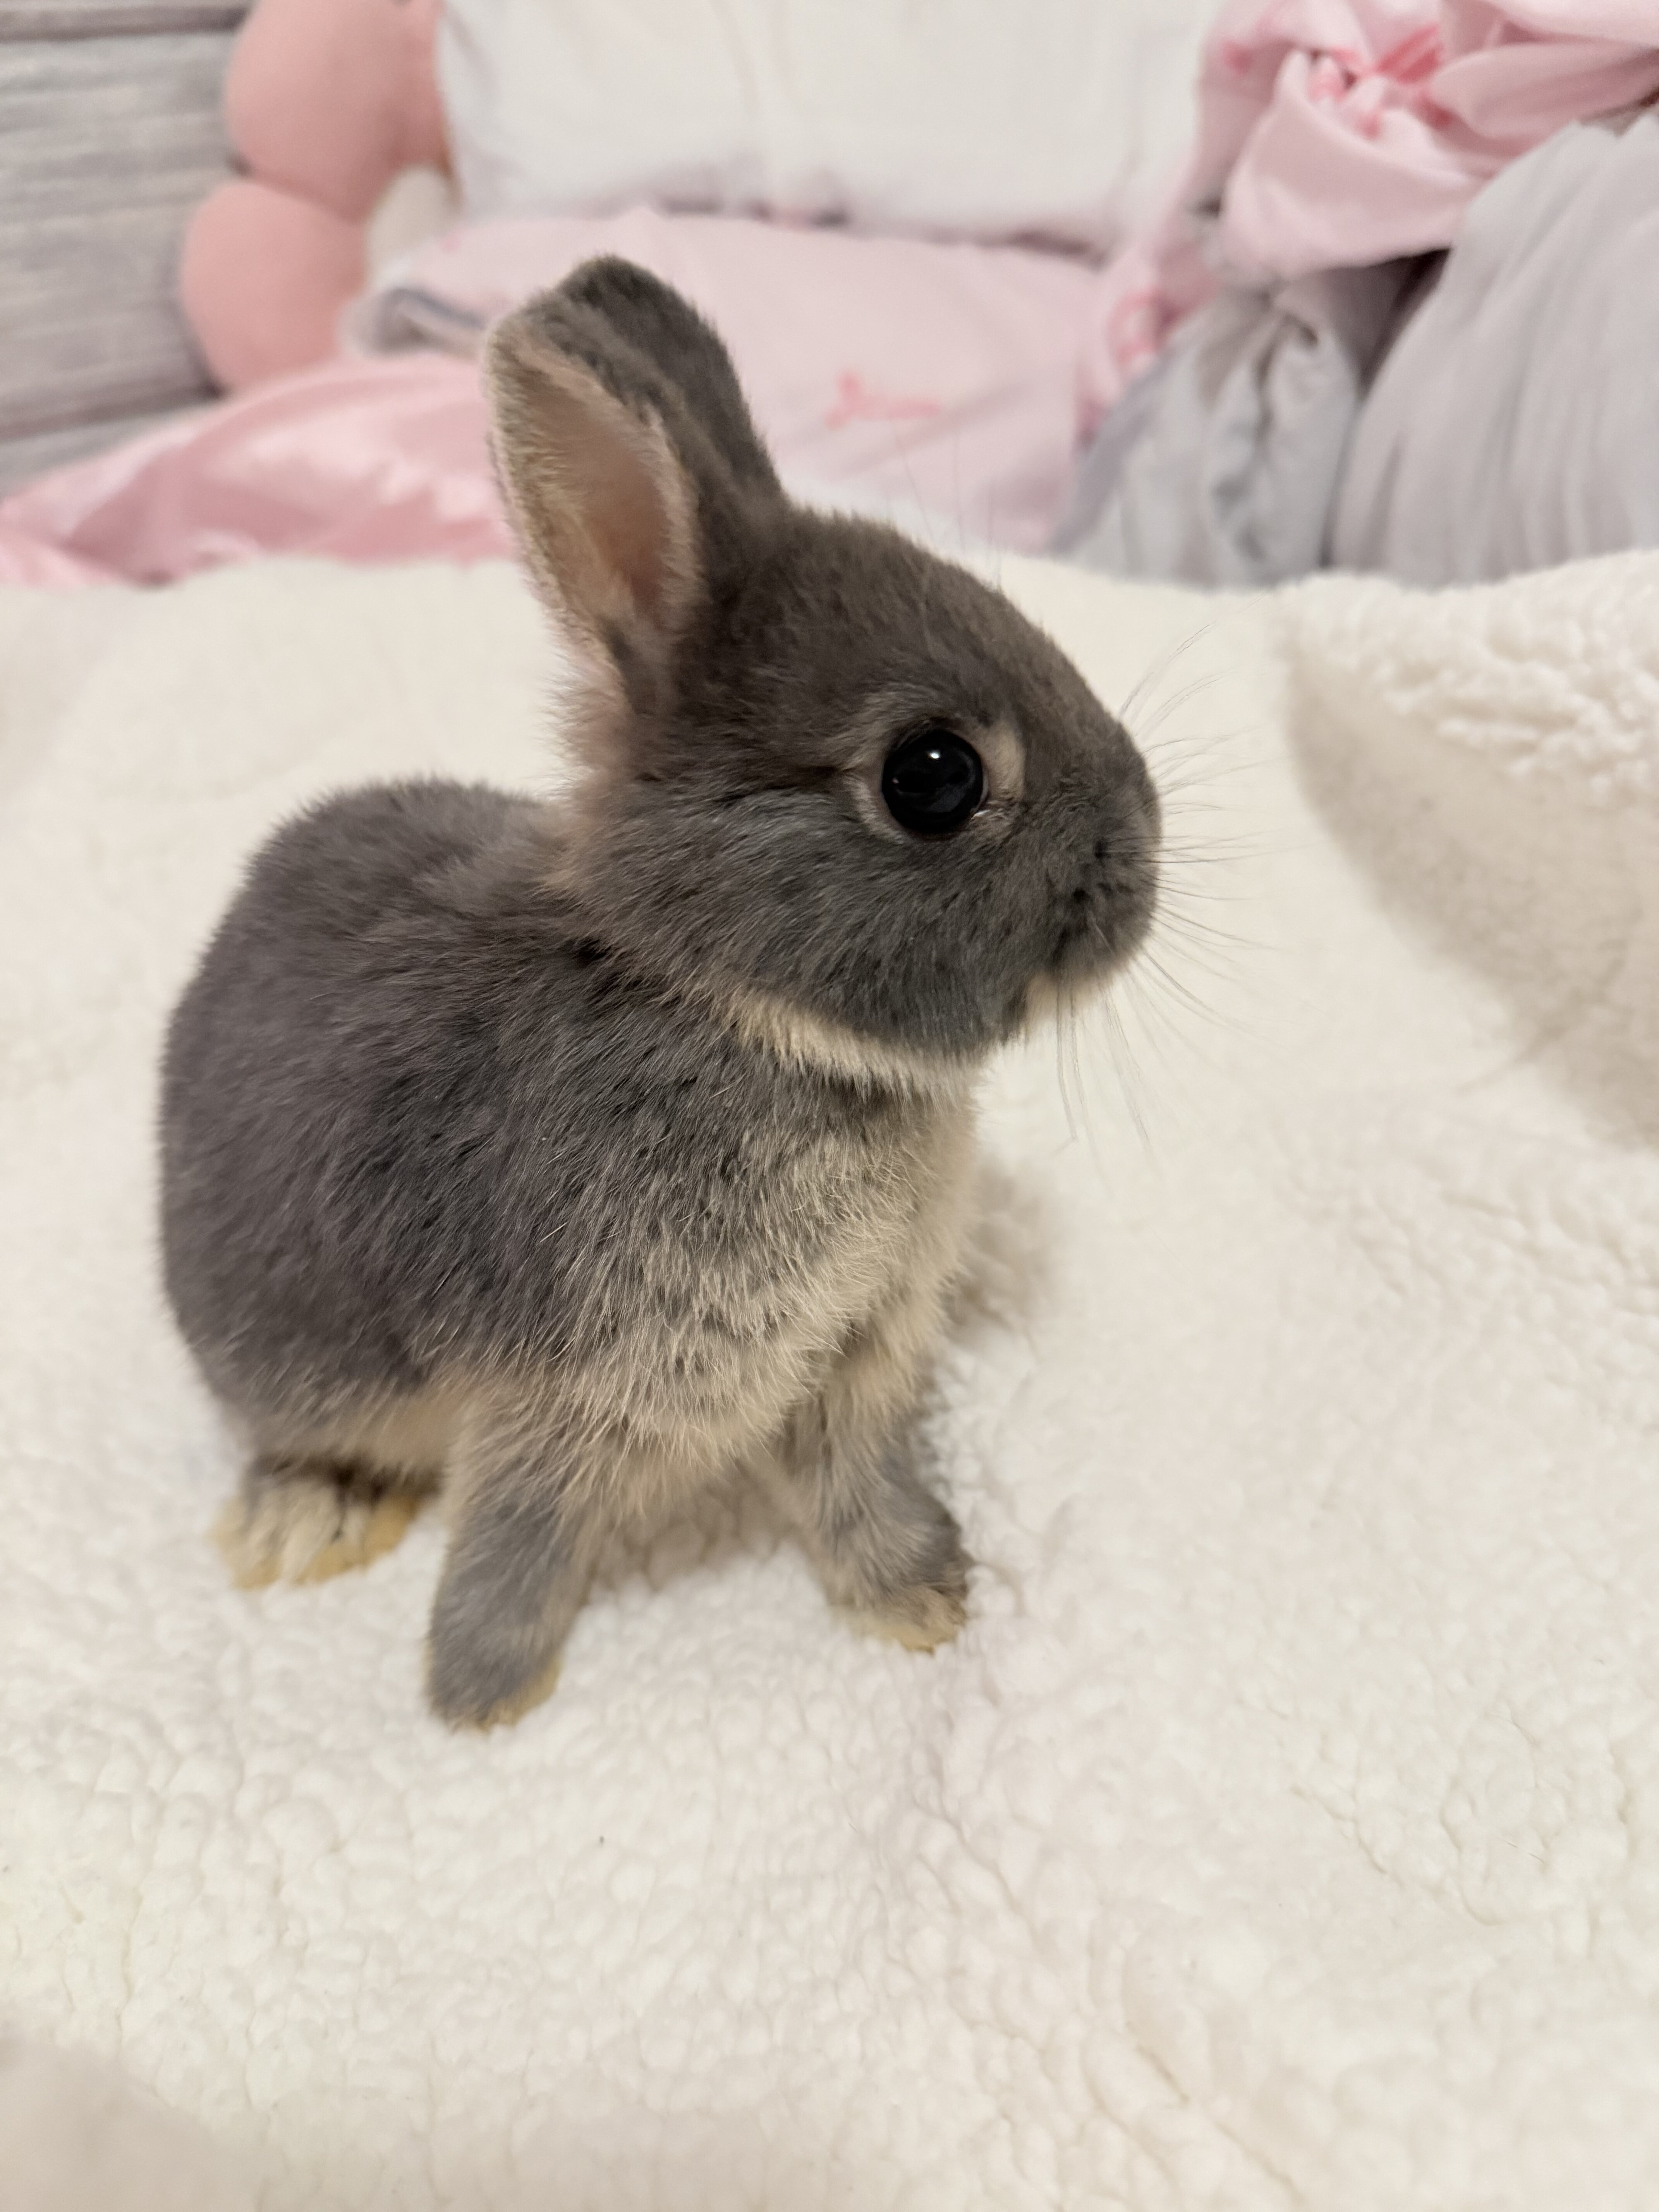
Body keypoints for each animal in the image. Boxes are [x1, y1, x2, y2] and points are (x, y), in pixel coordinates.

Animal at [159, 258, 1161, 1728]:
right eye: (933, 777)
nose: (1144, 859)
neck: (733, 1007)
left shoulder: (851, 1360)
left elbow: (858, 1489)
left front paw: (923, 1602)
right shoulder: (565, 1395)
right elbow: (518, 1538)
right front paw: (481, 1696)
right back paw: (304, 1520)